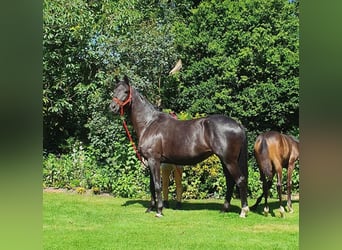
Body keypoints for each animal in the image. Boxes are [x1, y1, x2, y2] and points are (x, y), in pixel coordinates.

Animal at [111, 75, 250, 217]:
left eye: (126, 91)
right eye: (114, 90)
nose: (112, 107)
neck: (149, 123)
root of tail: (238, 124)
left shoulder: (154, 160)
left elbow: (157, 185)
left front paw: (159, 210)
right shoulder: (151, 162)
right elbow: (152, 186)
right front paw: (150, 208)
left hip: (229, 160)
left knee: (240, 180)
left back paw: (243, 211)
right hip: (225, 160)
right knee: (230, 182)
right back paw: (224, 209)